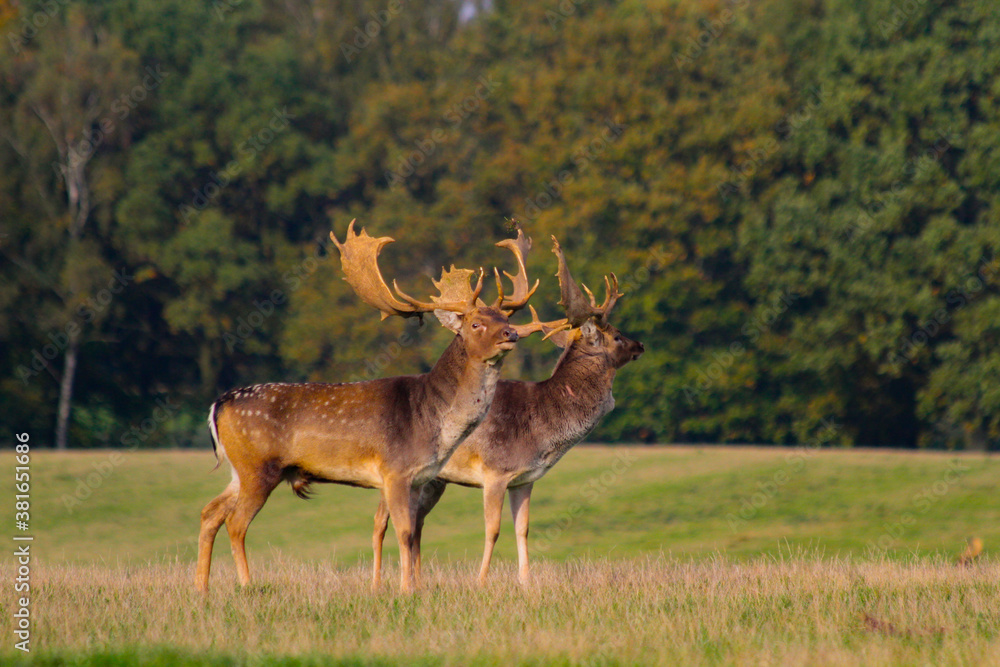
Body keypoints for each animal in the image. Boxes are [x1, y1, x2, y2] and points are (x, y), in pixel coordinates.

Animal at [195, 220, 540, 593]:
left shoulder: (419, 477)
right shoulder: (396, 470)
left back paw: (202, 587)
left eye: (503, 317)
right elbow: (404, 532)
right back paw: (246, 584)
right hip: (258, 467)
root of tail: (218, 405)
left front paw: (412, 585)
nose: (511, 334)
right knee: (236, 523)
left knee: (210, 512)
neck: (433, 419)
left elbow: (414, 534)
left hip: (239, 469)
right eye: (476, 323)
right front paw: (405, 589)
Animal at [371, 236, 645, 586]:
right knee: (380, 522)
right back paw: (379, 583)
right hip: (393, 471)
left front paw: (526, 582)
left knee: (416, 523)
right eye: (617, 335)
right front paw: (481, 580)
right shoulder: (495, 471)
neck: (544, 427)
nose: (640, 345)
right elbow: (493, 530)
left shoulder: (524, 478)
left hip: (432, 480)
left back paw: (417, 580)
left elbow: (523, 529)